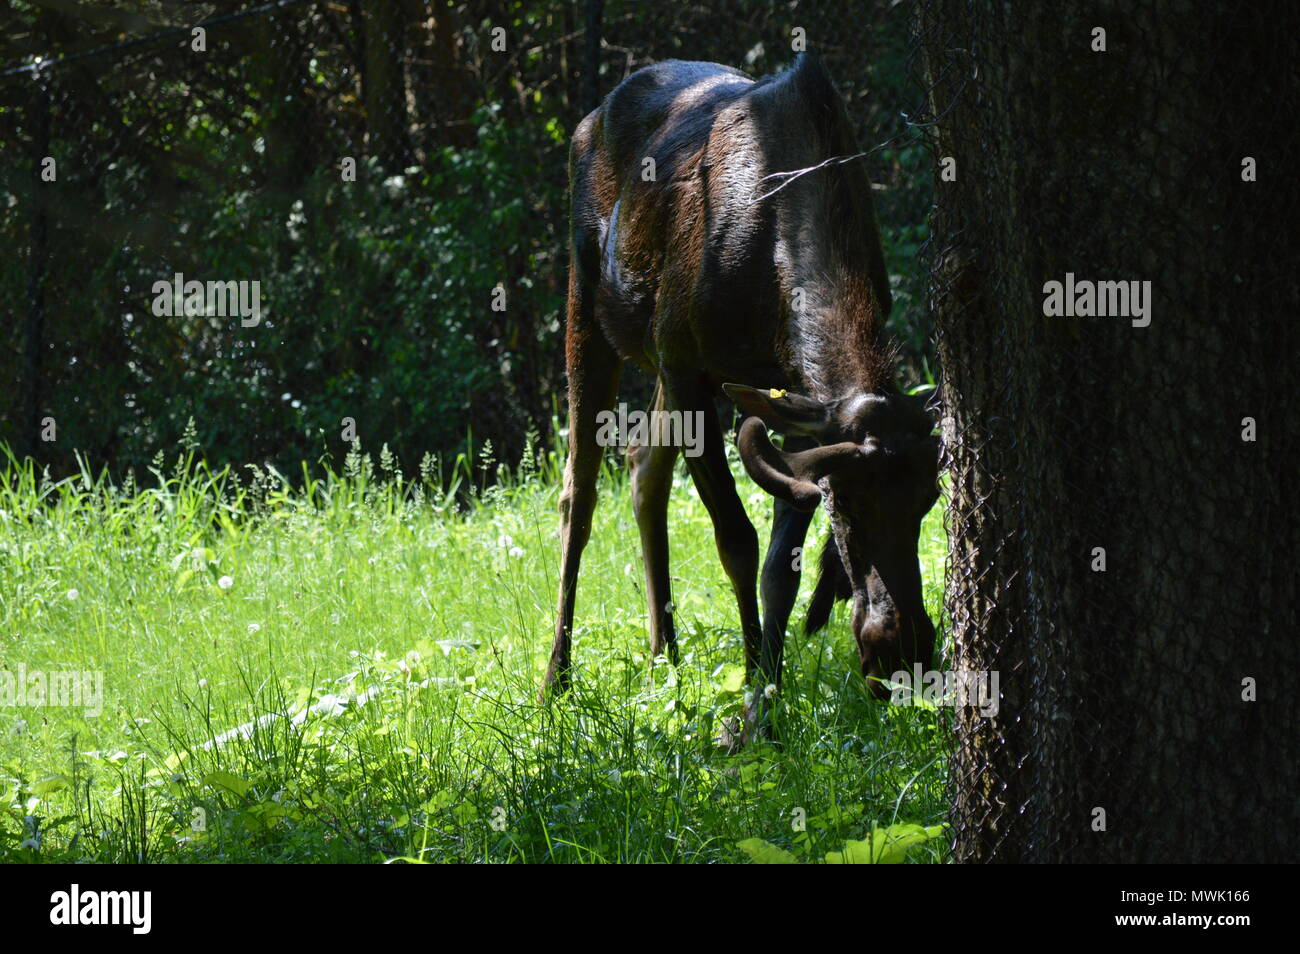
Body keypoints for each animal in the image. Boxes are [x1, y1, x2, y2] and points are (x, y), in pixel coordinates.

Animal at [541, 54, 941, 747]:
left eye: (929, 501)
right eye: (848, 506)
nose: (904, 651)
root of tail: (589, 119)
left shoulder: (796, 401)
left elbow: (782, 564)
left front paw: (765, 704)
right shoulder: (688, 365)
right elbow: (737, 541)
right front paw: (752, 699)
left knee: (643, 464)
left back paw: (665, 655)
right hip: (591, 303)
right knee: (579, 492)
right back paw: (556, 680)